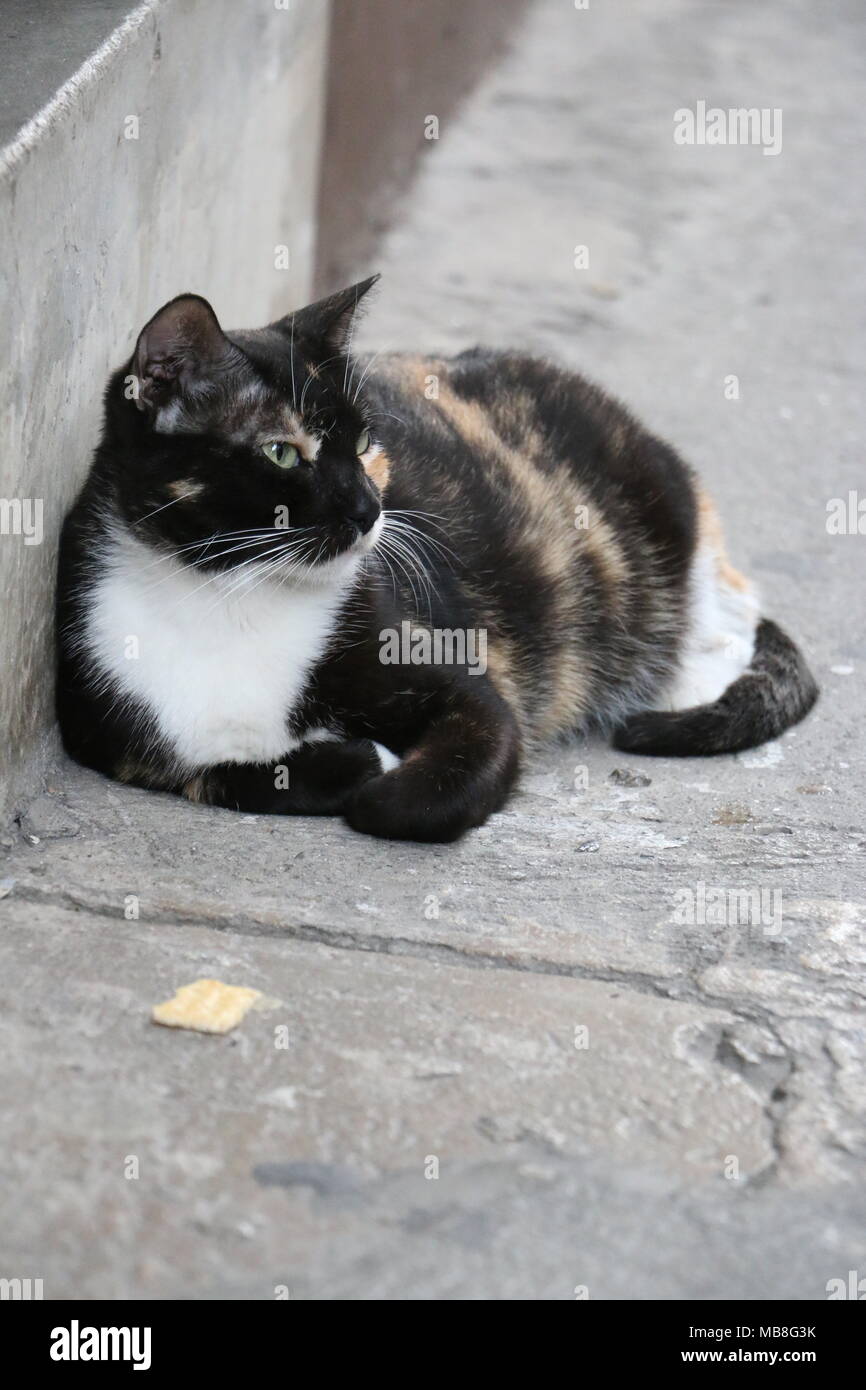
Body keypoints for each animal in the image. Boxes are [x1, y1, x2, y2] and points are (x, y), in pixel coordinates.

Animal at [55, 276, 817, 839]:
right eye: (281, 452)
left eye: (366, 444)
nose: (369, 509)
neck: (230, 599)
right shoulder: (107, 727)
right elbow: (210, 773)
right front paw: (346, 759)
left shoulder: (460, 678)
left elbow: (418, 790)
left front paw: (379, 775)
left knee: (731, 621)